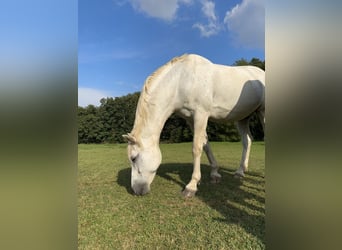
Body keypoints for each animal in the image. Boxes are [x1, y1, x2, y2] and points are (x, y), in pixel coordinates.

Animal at [123, 54, 264, 197]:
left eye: (133, 158)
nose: (136, 190)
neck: (181, 81)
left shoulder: (201, 115)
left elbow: (196, 148)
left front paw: (192, 186)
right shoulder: (191, 119)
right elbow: (205, 145)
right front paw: (215, 174)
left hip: (262, 112)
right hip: (242, 118)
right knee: (247, 141)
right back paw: (240, 172)